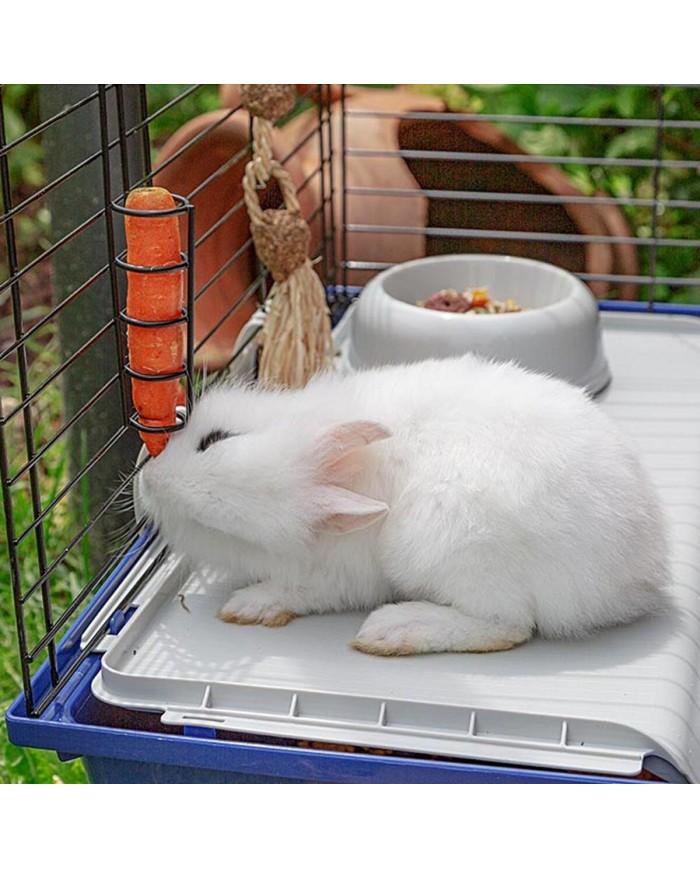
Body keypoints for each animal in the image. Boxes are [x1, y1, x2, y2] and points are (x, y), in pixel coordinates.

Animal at [137, 354, 670, 656]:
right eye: (216, 530)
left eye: (215, 440)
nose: (145, 481)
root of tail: (638, 575)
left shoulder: (340, 576)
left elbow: (300, 592)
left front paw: (249, 605)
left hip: (450, 548)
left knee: (508, 626)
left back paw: (392, 630)